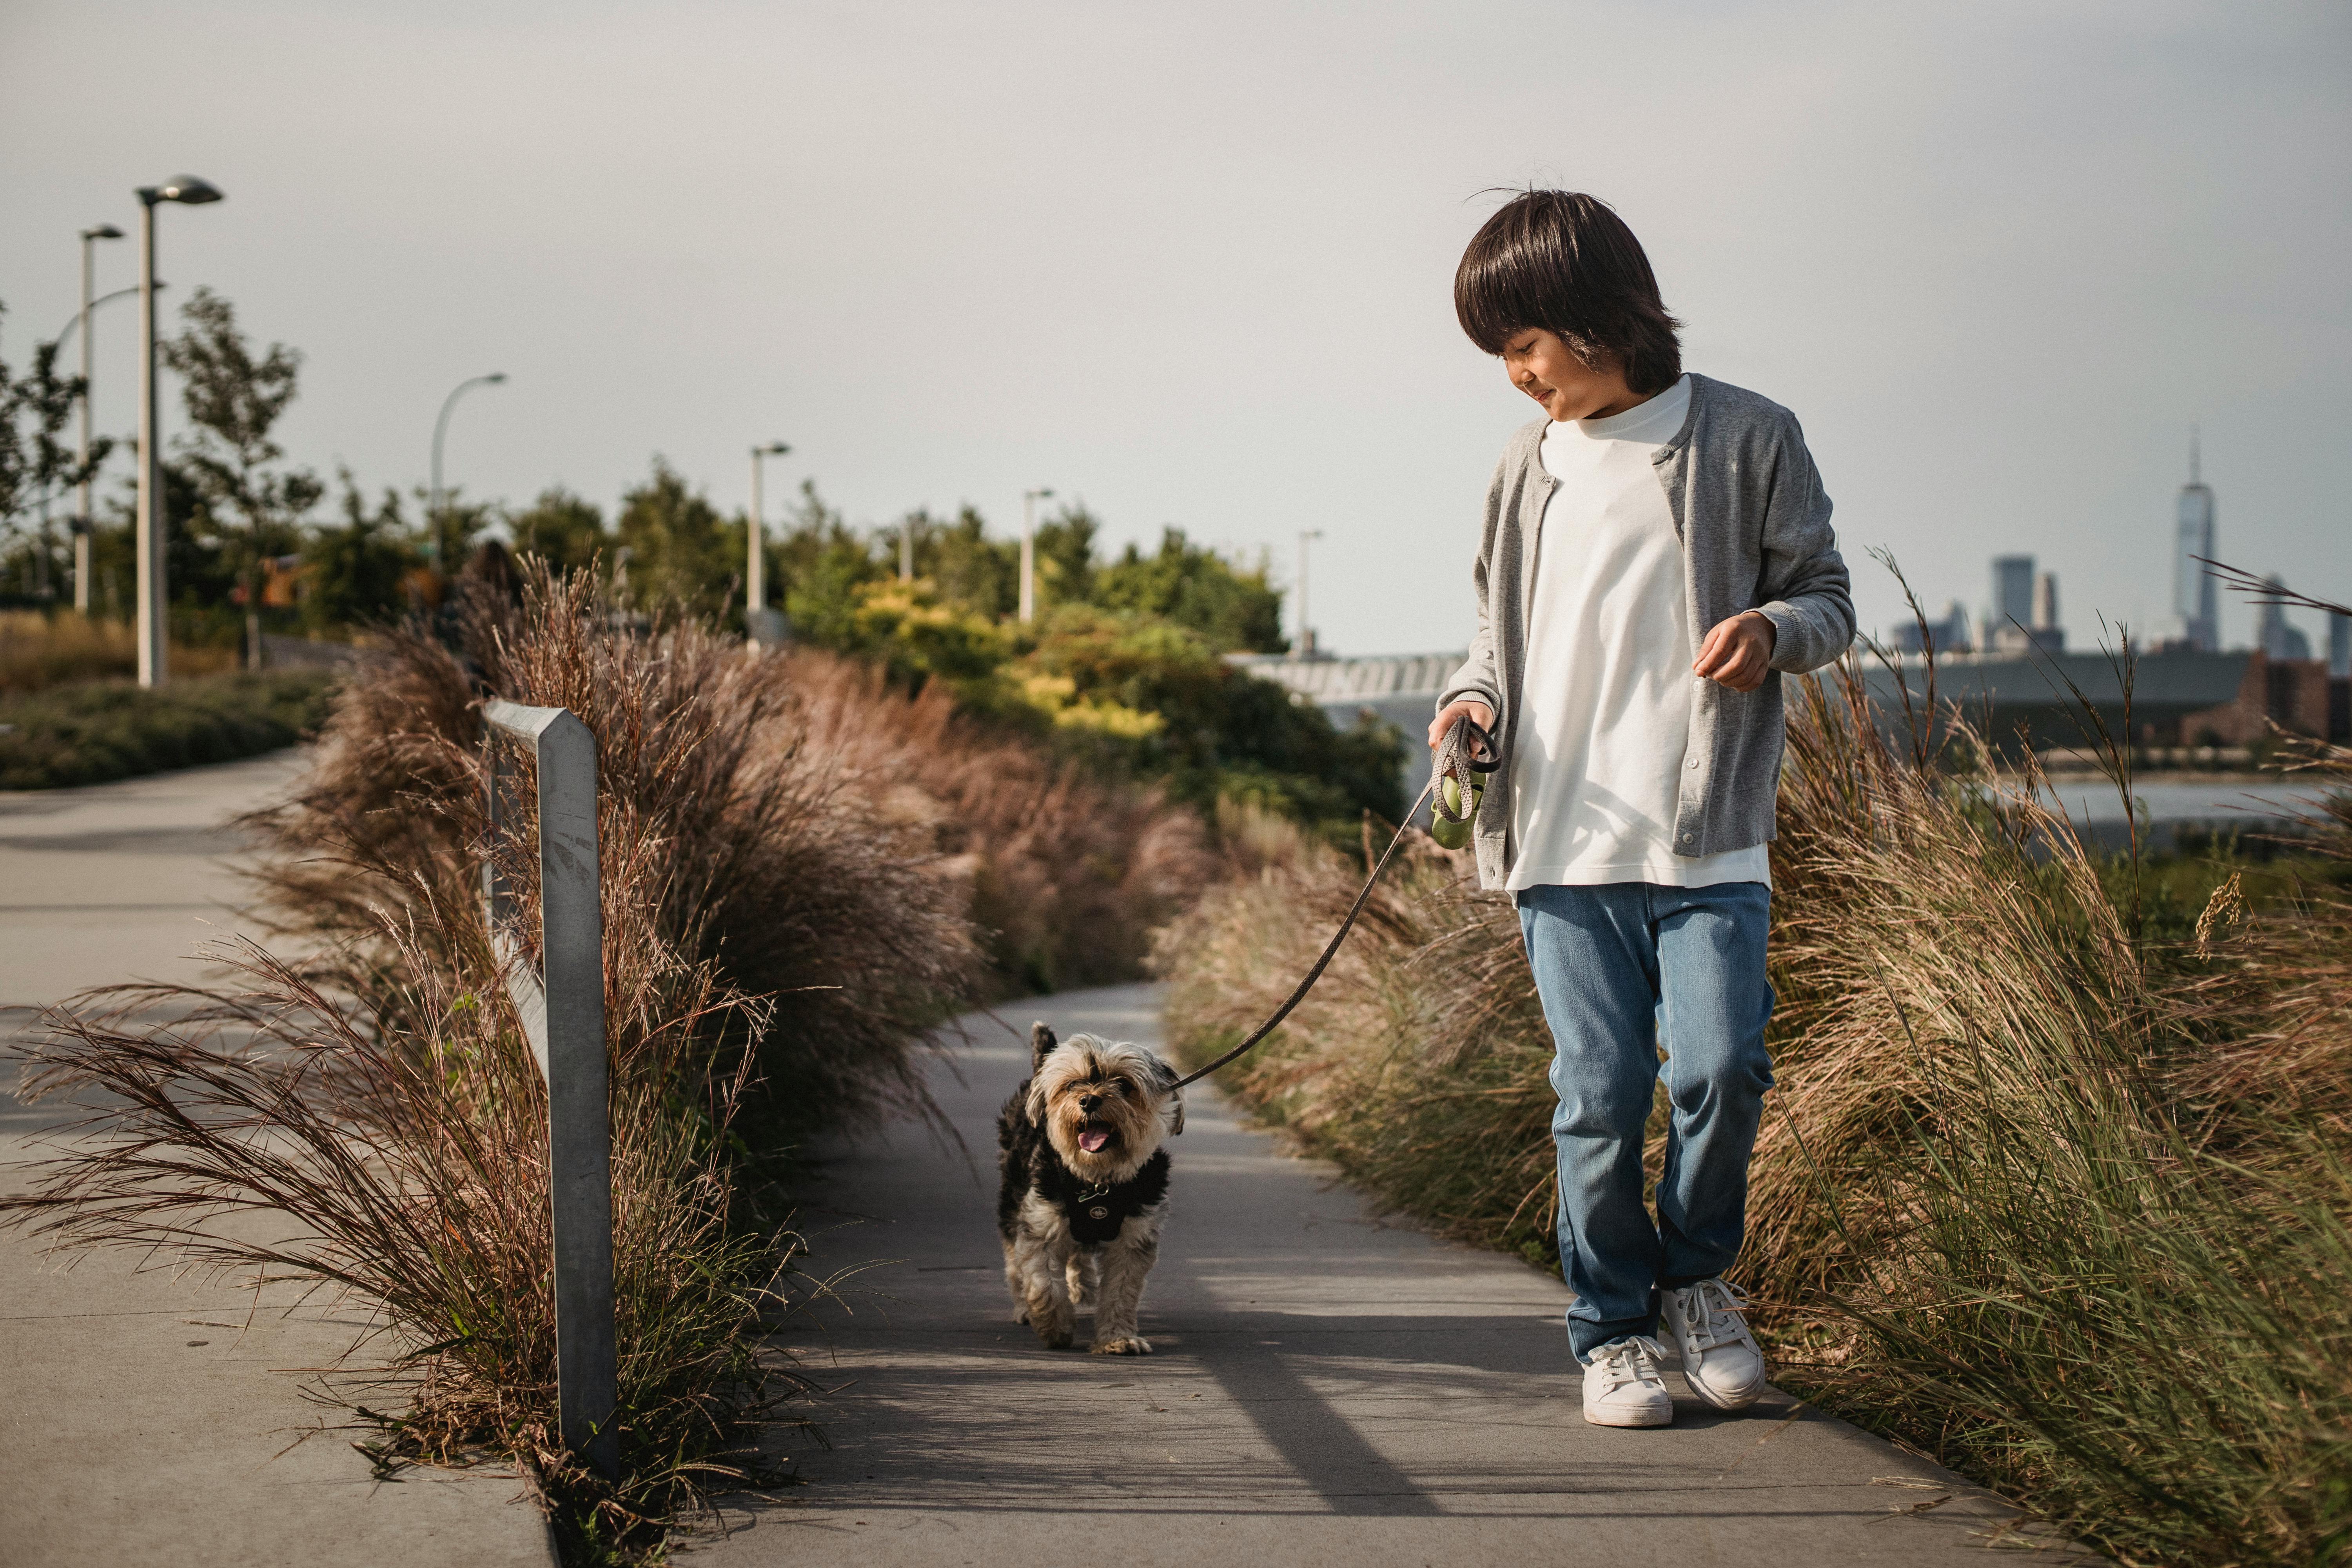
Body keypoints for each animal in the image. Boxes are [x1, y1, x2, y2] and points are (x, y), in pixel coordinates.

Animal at [993, 1025, 1176, 1354]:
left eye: (1124, 1085)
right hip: (1012, 1195)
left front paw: (1118, 1338)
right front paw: (1055, 1328)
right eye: (1071, 1085)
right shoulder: (1041, 1221)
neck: (1097, 1179)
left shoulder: (1135, 1234)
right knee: (1015, 1261)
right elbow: (1043, 1281)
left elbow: (1121, 1291)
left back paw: (1084, 1286)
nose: (1089, 1101)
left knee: (1078, 1254)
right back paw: (1025, 1308)